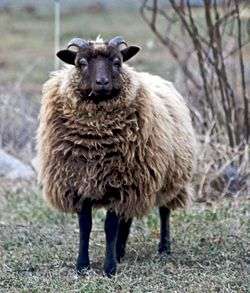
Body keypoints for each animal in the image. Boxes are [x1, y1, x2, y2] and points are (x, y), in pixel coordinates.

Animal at [37, 36, 196, 276]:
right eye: (81, 62)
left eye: (117, 62)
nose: (102, 83)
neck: (95, 139)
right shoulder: (81, 183)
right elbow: (86, 226)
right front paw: (82, 265)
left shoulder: (118, 184)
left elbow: (110, 227)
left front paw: (109, 268)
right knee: (127, 218)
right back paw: (120, 250)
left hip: (170, 175)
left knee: (164, 211)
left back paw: (163, 248)